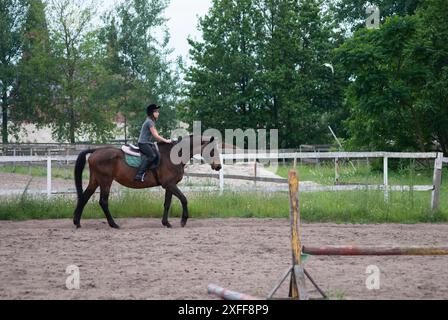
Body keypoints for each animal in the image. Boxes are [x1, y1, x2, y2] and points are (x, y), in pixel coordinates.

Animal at [72, 134, 223, 229]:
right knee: (103, 202)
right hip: (105, 181)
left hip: (95, 180)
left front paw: (166, 223)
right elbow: (184, 199)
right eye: (212, 151)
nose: (218, 166)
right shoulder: (170, 184)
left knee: (84, 197)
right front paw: (183, 220)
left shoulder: (169, 185)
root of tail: (95, 151)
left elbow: (167, 204)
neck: (172, 156)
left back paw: (77, 222)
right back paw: (113, 224)